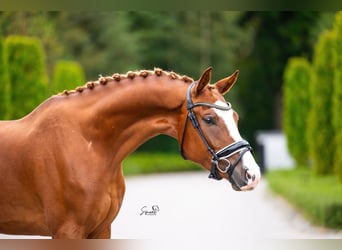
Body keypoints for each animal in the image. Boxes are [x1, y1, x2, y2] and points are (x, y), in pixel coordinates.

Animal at [0, 66, 260, 238]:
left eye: (235, 117)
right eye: (209, 119)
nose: (252, 174)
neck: (90, 144)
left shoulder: (101, 230)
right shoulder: (67, 231)